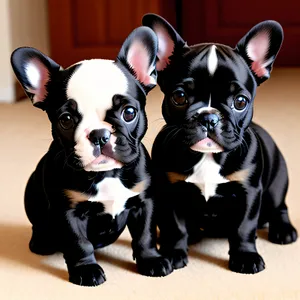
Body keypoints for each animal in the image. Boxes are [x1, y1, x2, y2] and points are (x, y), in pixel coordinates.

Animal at [11, 26, 172, 286]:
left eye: (129, 113)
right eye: (66, 120)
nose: (99, 135)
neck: (107, 174)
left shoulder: (144, 202)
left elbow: (145, 234)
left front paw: (151, 260)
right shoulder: (68, 212)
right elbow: (79, 244)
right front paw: (86, 270)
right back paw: (41, 242)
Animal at [143, 14, 298, 274]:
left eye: (240, 101)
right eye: (179, 97)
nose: (209, 117)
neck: (208, 157)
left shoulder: (248, 191)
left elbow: (244, 228)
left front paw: (246, 257)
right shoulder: (169, 189)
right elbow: (174, 226)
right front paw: (173, 253)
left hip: (277, 183)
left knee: (280, 207)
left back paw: (283, 230)